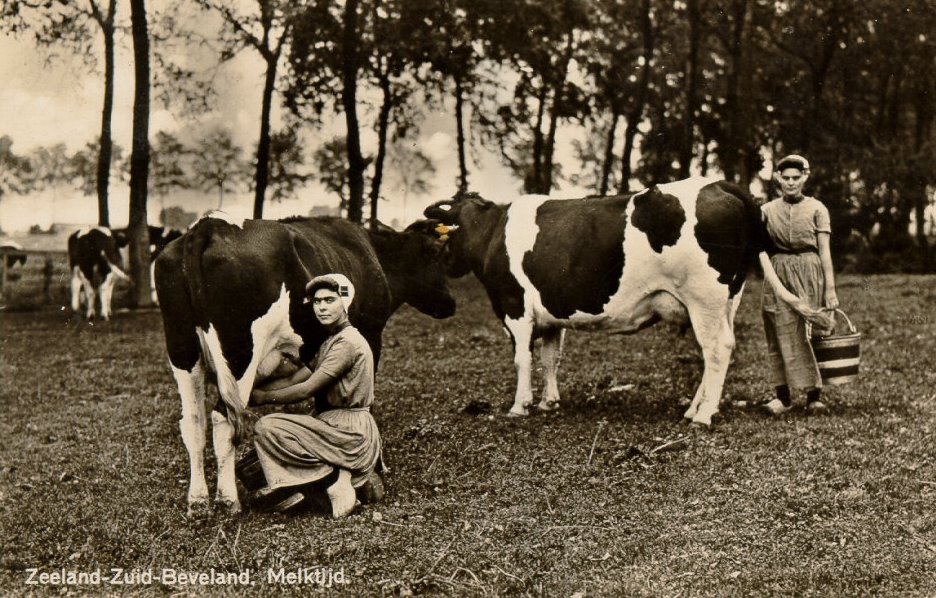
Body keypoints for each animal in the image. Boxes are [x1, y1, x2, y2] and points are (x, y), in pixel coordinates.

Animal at [155, 212, 456, 516]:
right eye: (435, 255)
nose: (450, 303)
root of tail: (209, 225)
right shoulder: (371, 334)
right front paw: (373, 469)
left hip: (182, 350)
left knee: (194, 421)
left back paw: (198, 502)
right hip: (239, 356)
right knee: (223, 419)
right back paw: (229, 501)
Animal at [428, 178, 772, 426]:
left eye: (446, 233)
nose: (445, 264)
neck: (492, 234)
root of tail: (718, 184)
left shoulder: (515, 305)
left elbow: (522, 358)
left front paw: (519, 405)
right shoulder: (551, 316)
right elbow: (550, 358)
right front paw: (548, 402)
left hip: (704, 298)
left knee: (716, 349)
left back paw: (703, 415)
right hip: (728, 299)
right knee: (717, 348)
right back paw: (693, 408)